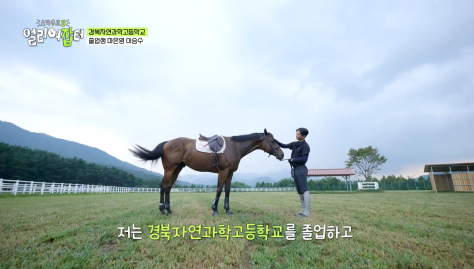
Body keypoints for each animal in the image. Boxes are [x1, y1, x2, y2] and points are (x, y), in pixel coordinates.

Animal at [130, 128, 284, 216]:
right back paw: (162, 210)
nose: (282, 154)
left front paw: (228, 209)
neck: (234, 147)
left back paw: (168, 210)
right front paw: (215, 209)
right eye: (272, 141)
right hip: (169, 169)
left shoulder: (230, 173)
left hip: (177, 169)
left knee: (168, 187)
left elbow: (227, 190)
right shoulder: (223, 171)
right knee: (163, 186)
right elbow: (219, 189)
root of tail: (167, 143)